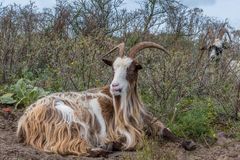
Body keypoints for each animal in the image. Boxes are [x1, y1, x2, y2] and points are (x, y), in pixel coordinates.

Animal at [17, 42, 197, 157]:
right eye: (113, 69)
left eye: (132, 68)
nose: (115, 86)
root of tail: (24, 121)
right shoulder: (120, 130)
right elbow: (136, 141)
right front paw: (113, 144)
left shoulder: (147, 120)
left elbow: (165, 130)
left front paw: (189, 143)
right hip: (68, 119)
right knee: (67, 146)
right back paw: (103, 149)